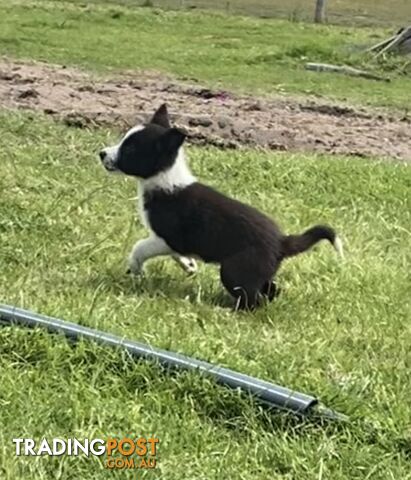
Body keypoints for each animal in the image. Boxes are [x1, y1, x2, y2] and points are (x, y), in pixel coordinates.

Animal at [98, 103, 342, 310]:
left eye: (130, 150)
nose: (101, 153)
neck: (166, 178)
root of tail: (282, 241)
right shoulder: (175, 243)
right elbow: (177, 255)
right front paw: (189, 265)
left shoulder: (167, 237)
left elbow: (140, 247)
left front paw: (136, 268)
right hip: (260, 273)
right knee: (270, 291)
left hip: (235, 270)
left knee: (252, 300)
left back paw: (227, 310)